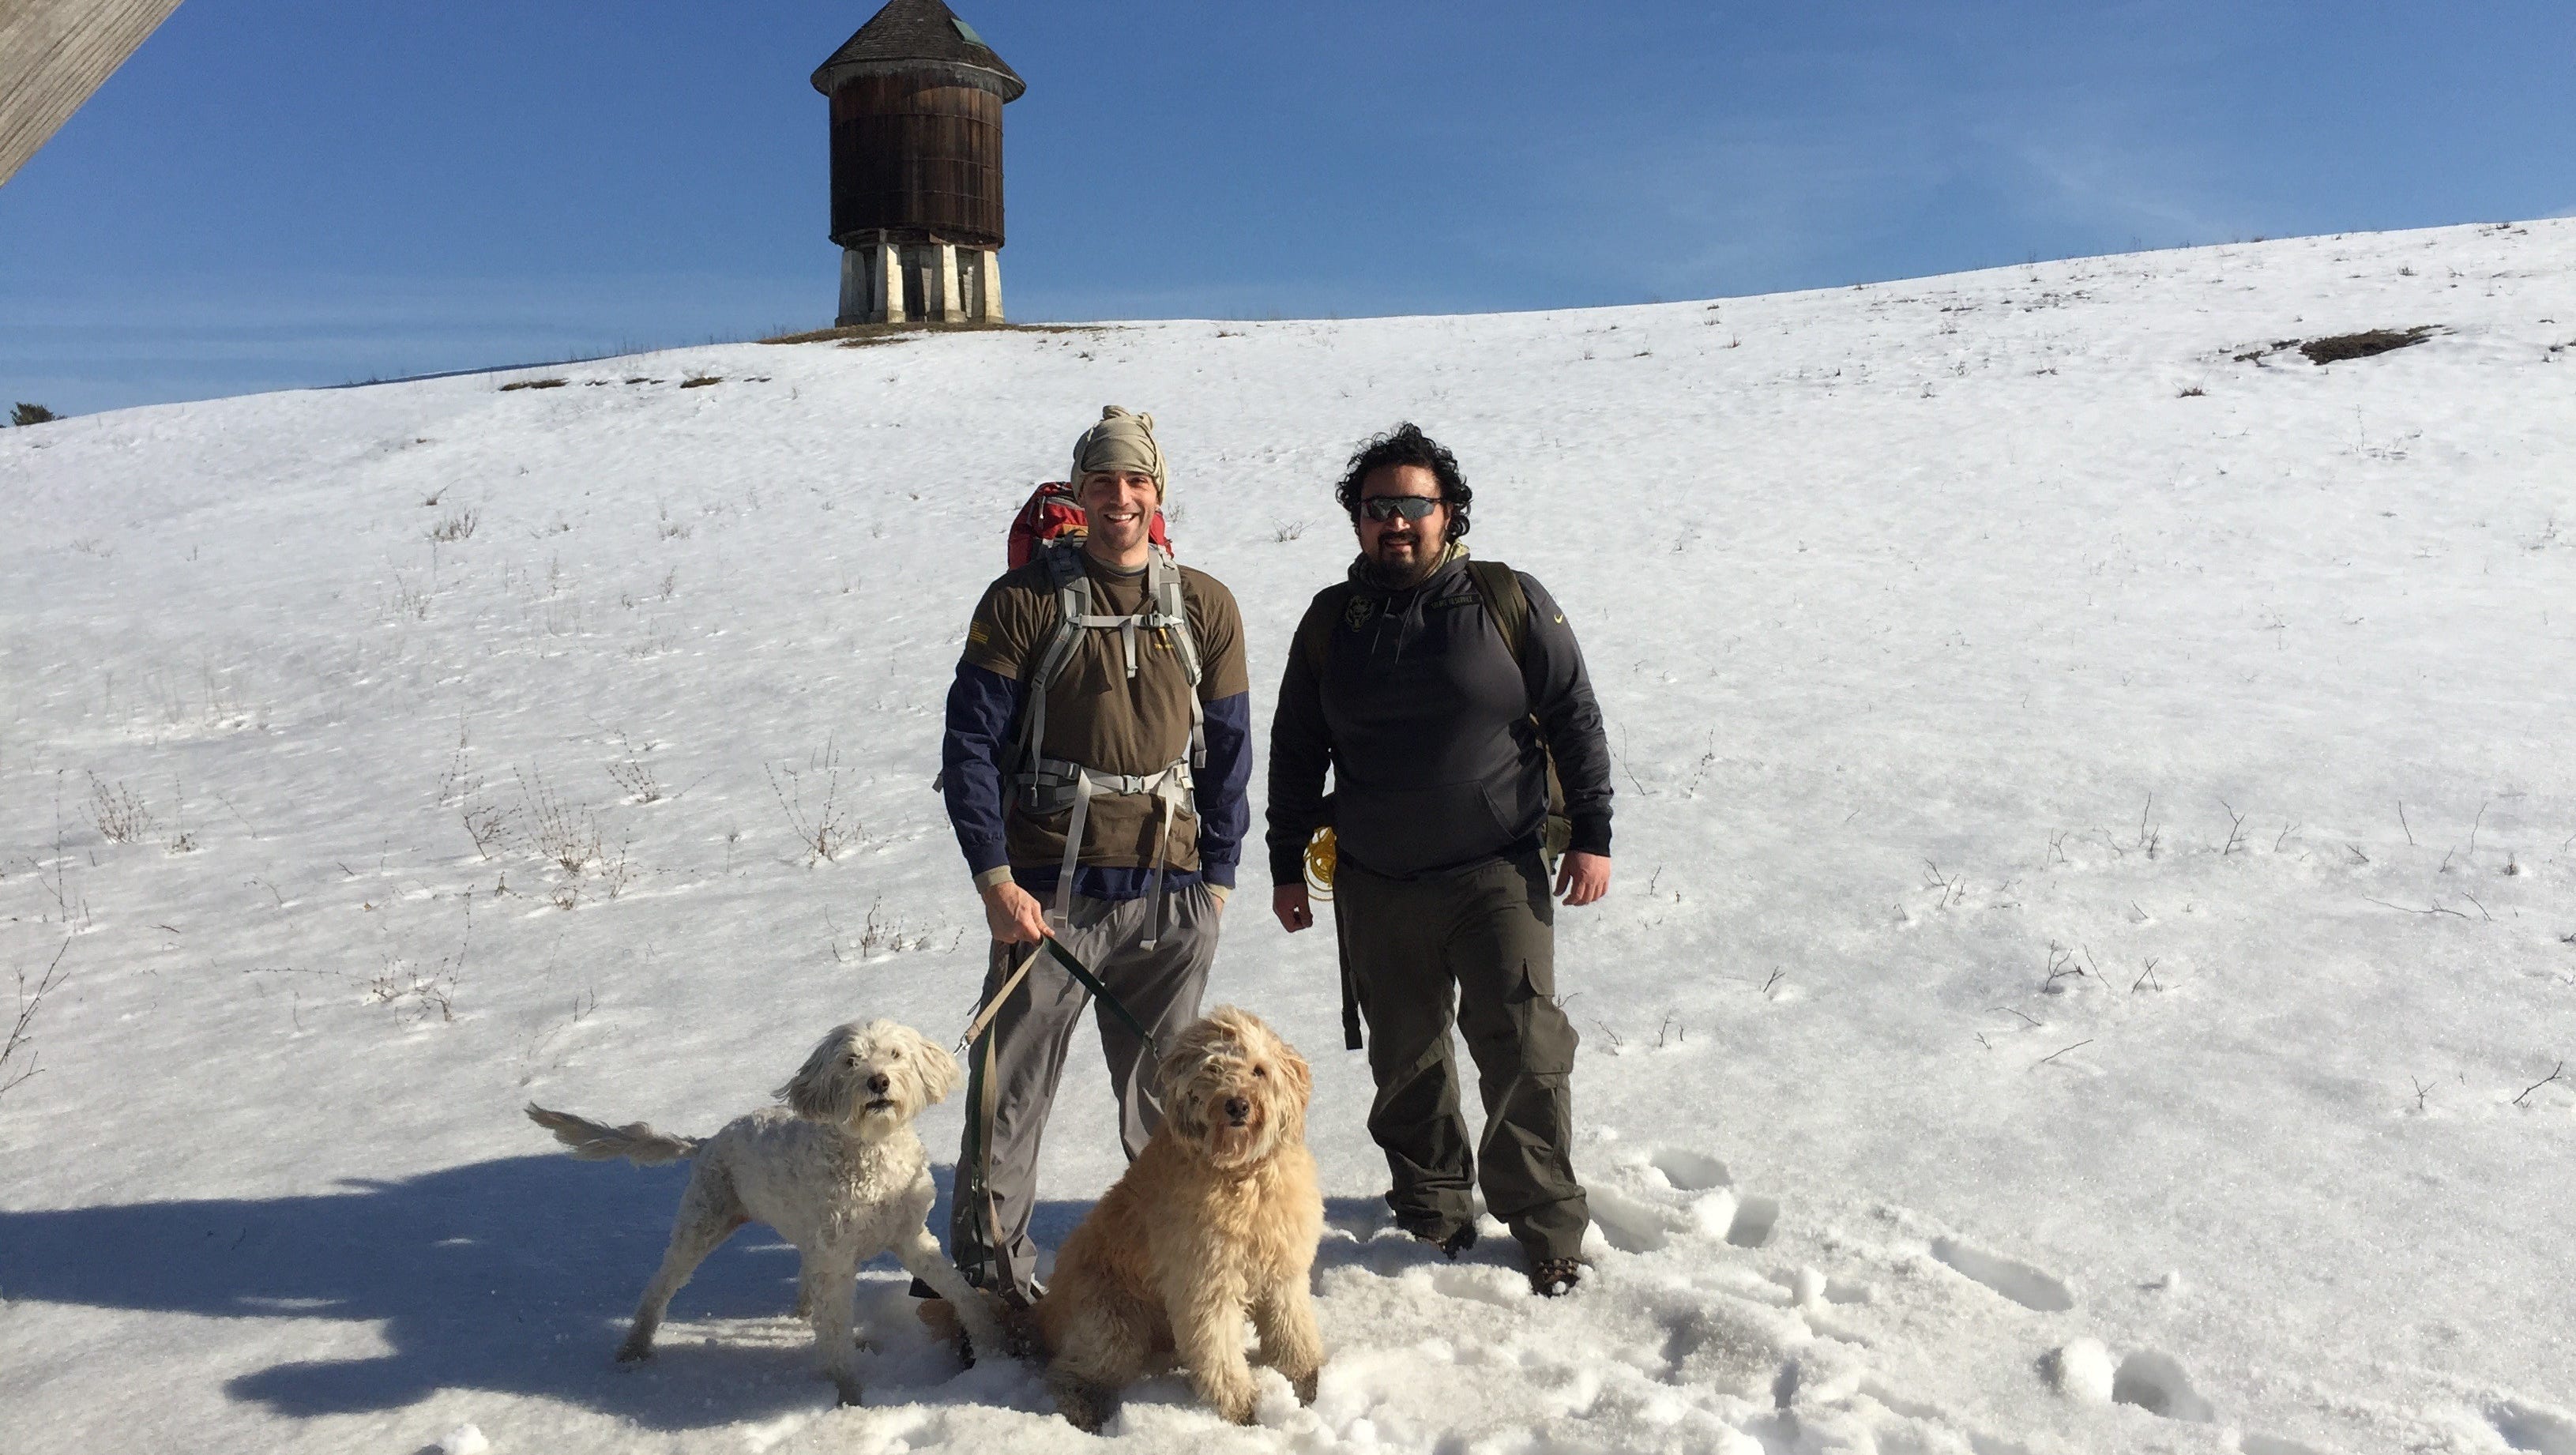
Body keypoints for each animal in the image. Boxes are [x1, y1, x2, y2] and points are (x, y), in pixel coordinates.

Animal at [525, 1014, 1004, 1400]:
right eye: (850, 1061)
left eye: (895, 1053)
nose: (879, 1082)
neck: (871, 1153)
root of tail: (708, 1141)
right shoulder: (837, 1258)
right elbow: (835, 1332)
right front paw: (849, 1396)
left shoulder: (909, 1237)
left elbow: (957, 1287)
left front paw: (989, 1334)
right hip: (702, 1222)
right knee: (659, 1289)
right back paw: (634, 1348)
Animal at [1030, 1004, 1318, 1421]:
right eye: (1212, 1069)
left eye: (1259, 1071)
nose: (1237, 1105)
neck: (1239, 1176)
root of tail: (1046, 1308)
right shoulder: (1205, 1282)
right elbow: (1218, 1351)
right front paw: (1241, 1407)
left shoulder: (1284, 1270)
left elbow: (1291, 1326)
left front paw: (1306, 1380)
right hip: (1109, 1327)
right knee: (1068, 1371)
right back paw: (1085, 1411)